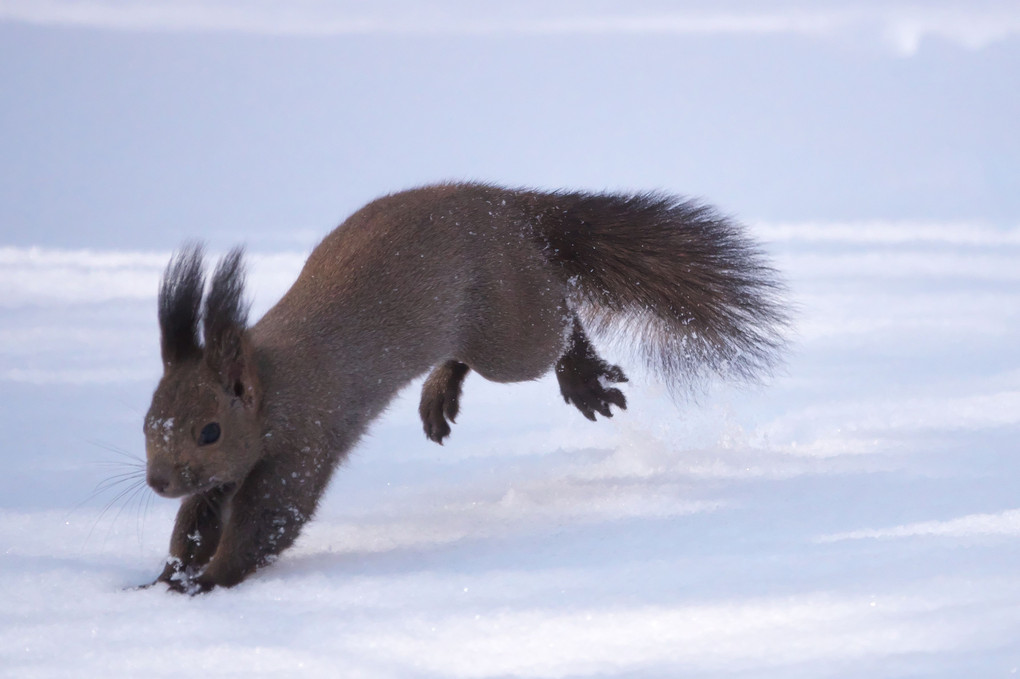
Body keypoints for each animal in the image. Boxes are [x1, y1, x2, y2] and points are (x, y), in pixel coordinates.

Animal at [141, 182, 787, 591]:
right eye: (147, 423)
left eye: (210, 430)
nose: (158, 482)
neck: (270, 384)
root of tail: (516, 211)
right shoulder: (227, 474)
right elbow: (196, 522)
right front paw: (165, 577)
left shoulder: (302, 442)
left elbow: (269, 522)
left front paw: (207, 583)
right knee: (464, 354)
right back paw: (439, 396)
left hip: (510, 327)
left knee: (560, 319)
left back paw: (585, 378)